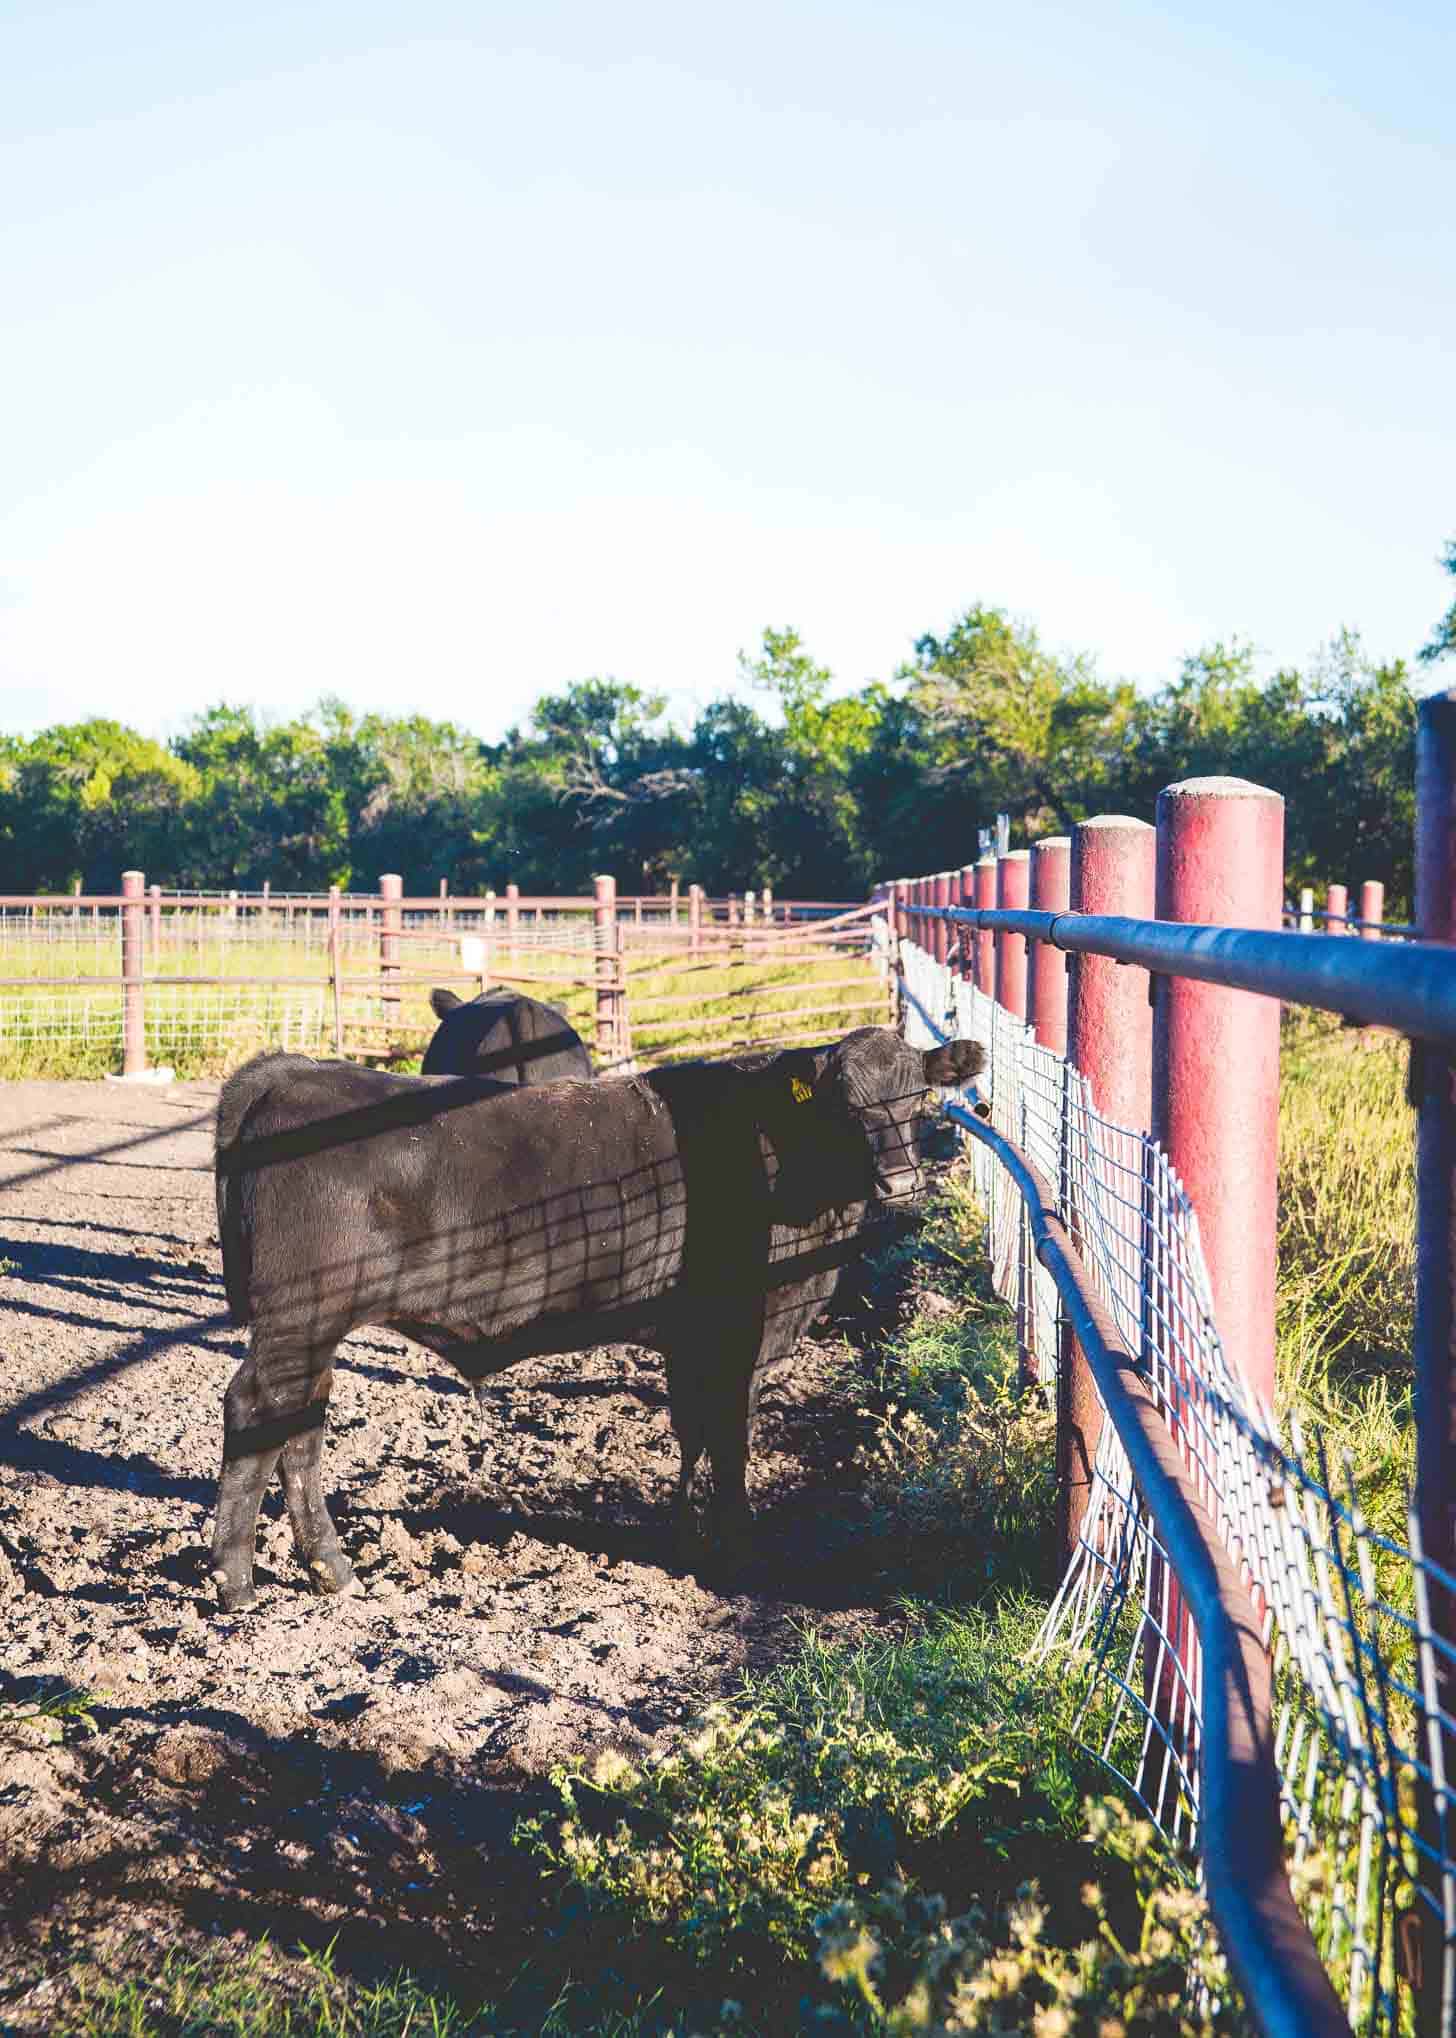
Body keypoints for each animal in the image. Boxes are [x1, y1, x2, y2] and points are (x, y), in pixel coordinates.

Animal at [210, 1027, 982, 1614]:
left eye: (919, 1097)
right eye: (845, 1106)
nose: (901, 1183)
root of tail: (295, 1071)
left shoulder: (693, 1340)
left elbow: (694, 1433)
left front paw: (683, 1539)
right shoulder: (740, 1336)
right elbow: (730, 1441)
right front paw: (737, 1553)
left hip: (313, 1332)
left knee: (299, 1426)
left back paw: (331, 1571)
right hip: (300, 1318)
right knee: (256, 1412)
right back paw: (237, 1582)